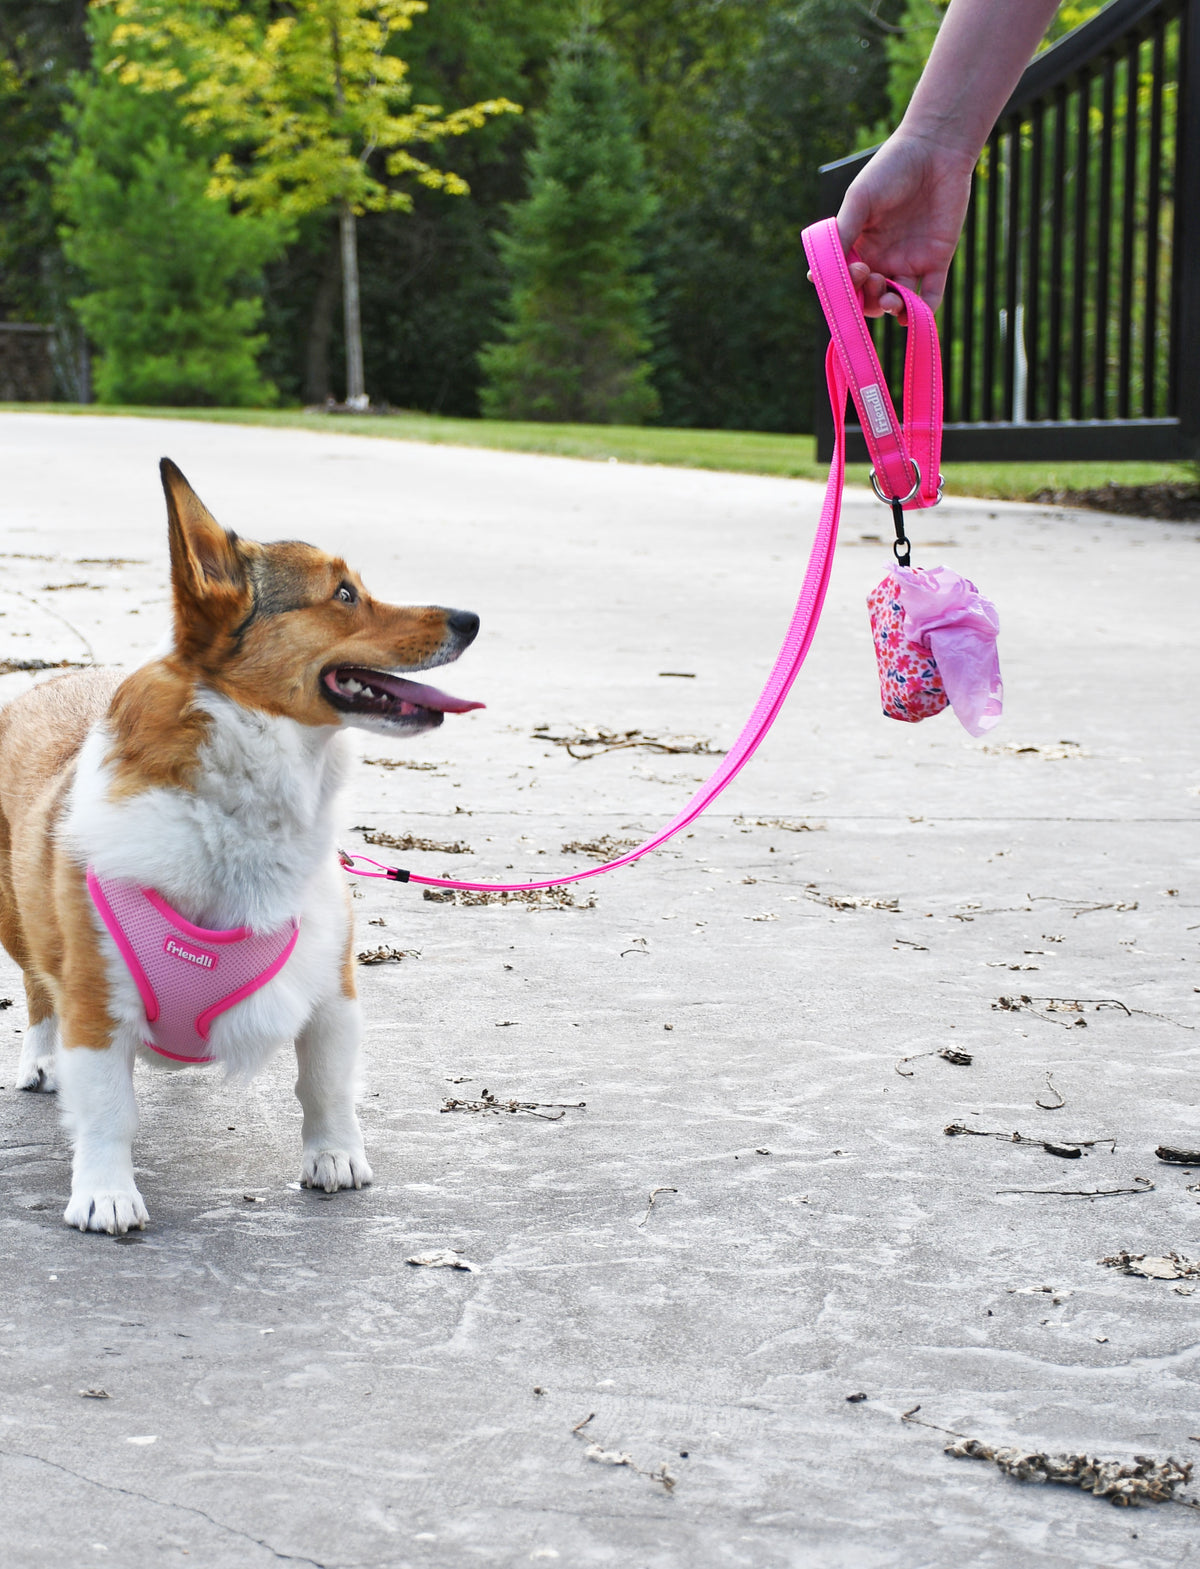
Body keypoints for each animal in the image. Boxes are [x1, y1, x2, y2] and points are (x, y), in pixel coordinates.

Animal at [1, 458, 476, 1230]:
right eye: (344, 594)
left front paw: (334, 1158)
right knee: (39, 992)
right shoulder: (95, 1005)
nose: (472, 619)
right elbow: (107, 1113)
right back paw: (41, 1061)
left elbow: (325, 1085)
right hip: (16, 922)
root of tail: (60, 677)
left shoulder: (332, 988)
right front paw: (106, 1193)